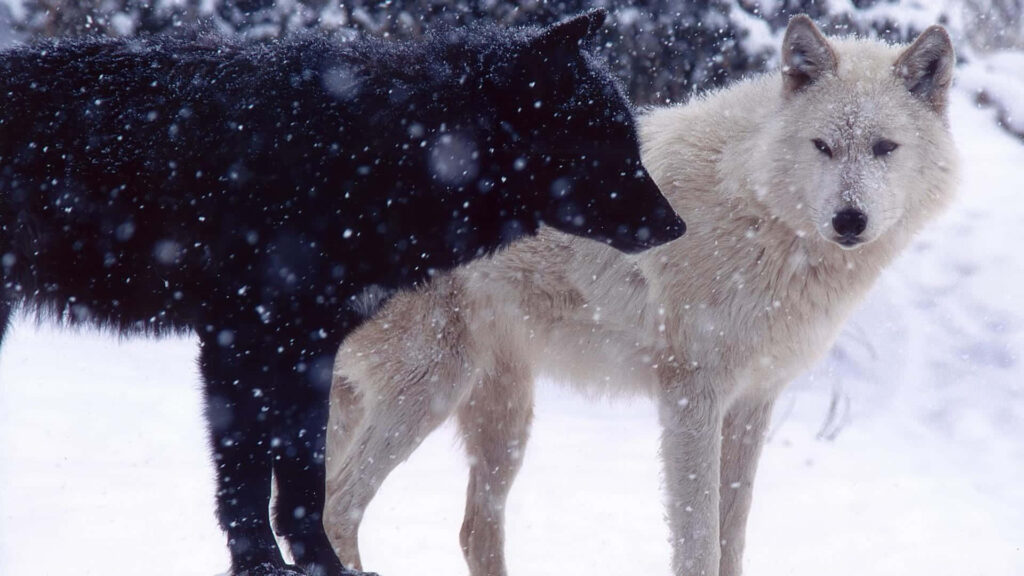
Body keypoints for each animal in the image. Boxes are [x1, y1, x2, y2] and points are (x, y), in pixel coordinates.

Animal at [0, 10, 685, 576]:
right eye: (607, 142)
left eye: (630, 139)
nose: (678, 227)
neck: (378, 150)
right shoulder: (239, 341)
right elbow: (248, 476)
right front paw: (260, 567)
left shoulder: (310, 349)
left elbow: (305, 481)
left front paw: (323, 568)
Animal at [323, 15, 957, 576]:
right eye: (823, 146)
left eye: (885, 147)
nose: (849, 220)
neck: (758, 213)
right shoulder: (691, 396)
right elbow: (698, 542)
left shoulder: (753, 401)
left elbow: (733, 536)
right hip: (432, 388)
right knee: (337, 511)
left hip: (501, 417)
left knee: (468, 530)